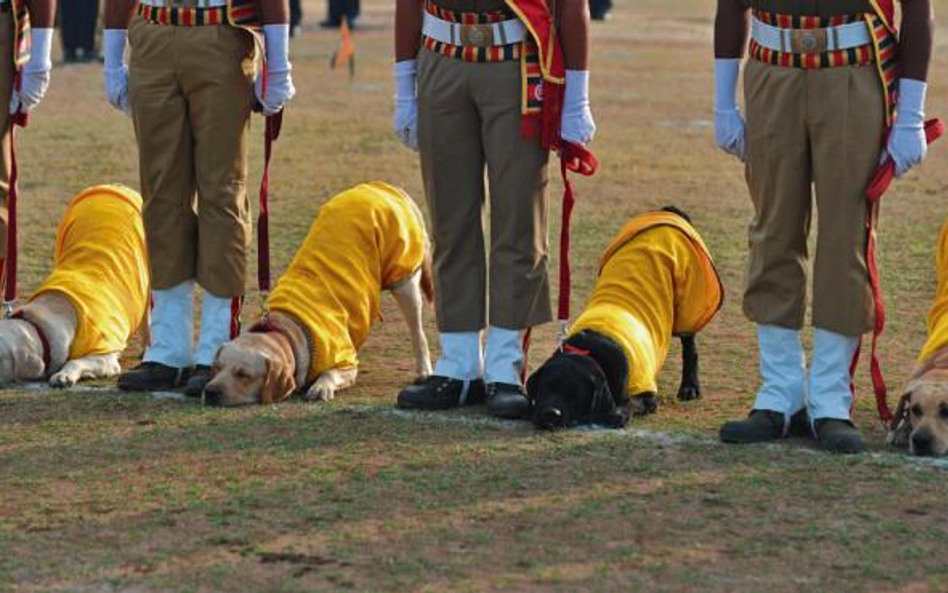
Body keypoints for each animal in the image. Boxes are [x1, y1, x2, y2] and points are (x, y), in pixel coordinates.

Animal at [206, 180, 436, 402]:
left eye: (243, 375)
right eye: (216, 368)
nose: (209, 391)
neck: (285, 331)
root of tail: (385, 186)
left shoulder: (347, 364)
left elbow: (330, 372)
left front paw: (320, 387)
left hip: (404, 278)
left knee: (418, 332)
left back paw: (424, 370)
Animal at [528, 208, 724, 430]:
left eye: (575, 395)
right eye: (545, 387)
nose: (550, 414)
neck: (591, 348)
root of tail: (669, 211)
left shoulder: (646, 394)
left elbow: (630, 402)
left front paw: (618, 413)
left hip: (688, 303)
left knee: (690, 348)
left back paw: (690, 387)